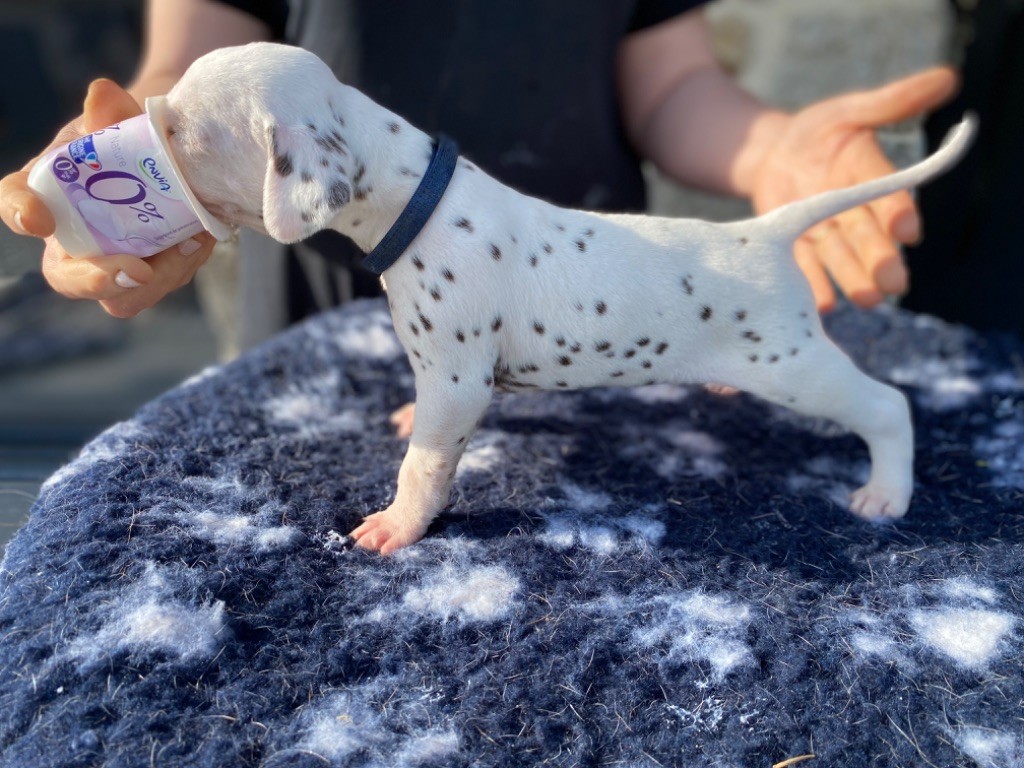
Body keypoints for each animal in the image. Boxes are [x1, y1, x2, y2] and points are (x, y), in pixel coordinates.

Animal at [163, 43, 974, 554]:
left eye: (183, 133)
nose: (146, 123)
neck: (419, 197)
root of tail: (764, 232)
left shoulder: (456, 382)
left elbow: (424, 465)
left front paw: (398, 524)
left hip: (793, 365)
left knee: (885, 406)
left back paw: (886, 491)